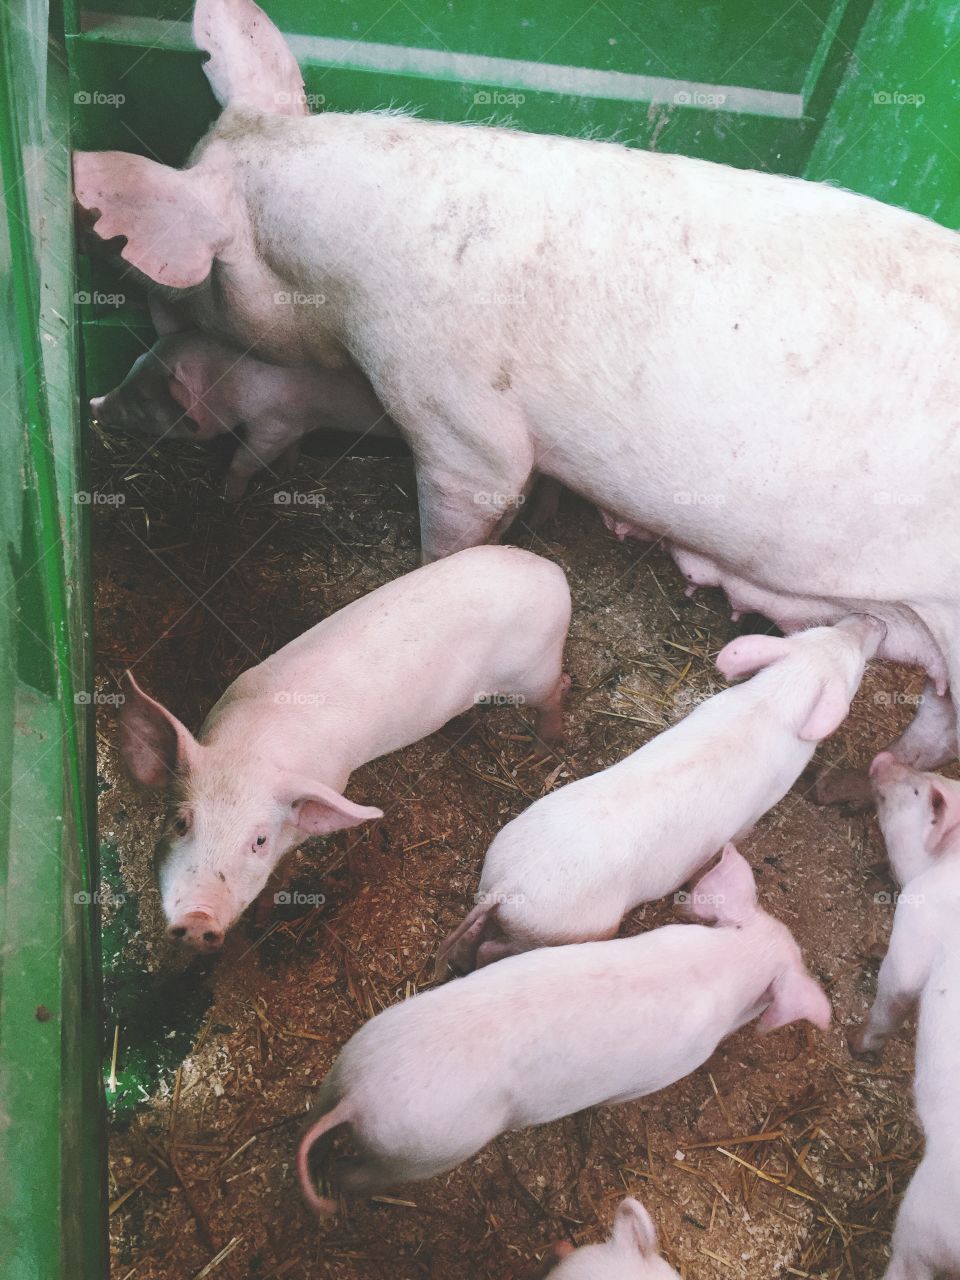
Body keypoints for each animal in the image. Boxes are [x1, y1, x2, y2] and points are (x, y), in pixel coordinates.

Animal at [89, 329, 397, 499]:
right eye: (135, 362)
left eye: (144, 399)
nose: (93, 403)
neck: (228, 382)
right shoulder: (298, 422)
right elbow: (293, 448)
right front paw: (282, 472)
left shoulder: (274, 425)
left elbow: (242, 461)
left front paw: (227, 497)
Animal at [119, 546, 570, 950]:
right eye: (180, 823)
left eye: (260, 840)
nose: (197, 920)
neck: (250, 749)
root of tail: (554, 574)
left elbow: (279, 875)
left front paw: (262, 920)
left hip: (532, 672)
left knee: (557, 693)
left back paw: (539, 752)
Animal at [296, 845, 829, 1214]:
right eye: (766, 999)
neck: (731, 961)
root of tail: (358, 1098)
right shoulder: (671, 1067)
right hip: (426, 1149)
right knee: (358, 1176)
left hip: (346, 1061)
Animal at [436, 614, 882, 975]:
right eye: (856, 671)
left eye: (820, 630)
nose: (872, 619)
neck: (781, 695)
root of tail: (506, 884)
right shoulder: (754, 813)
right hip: (573, 928)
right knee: (498, 949)